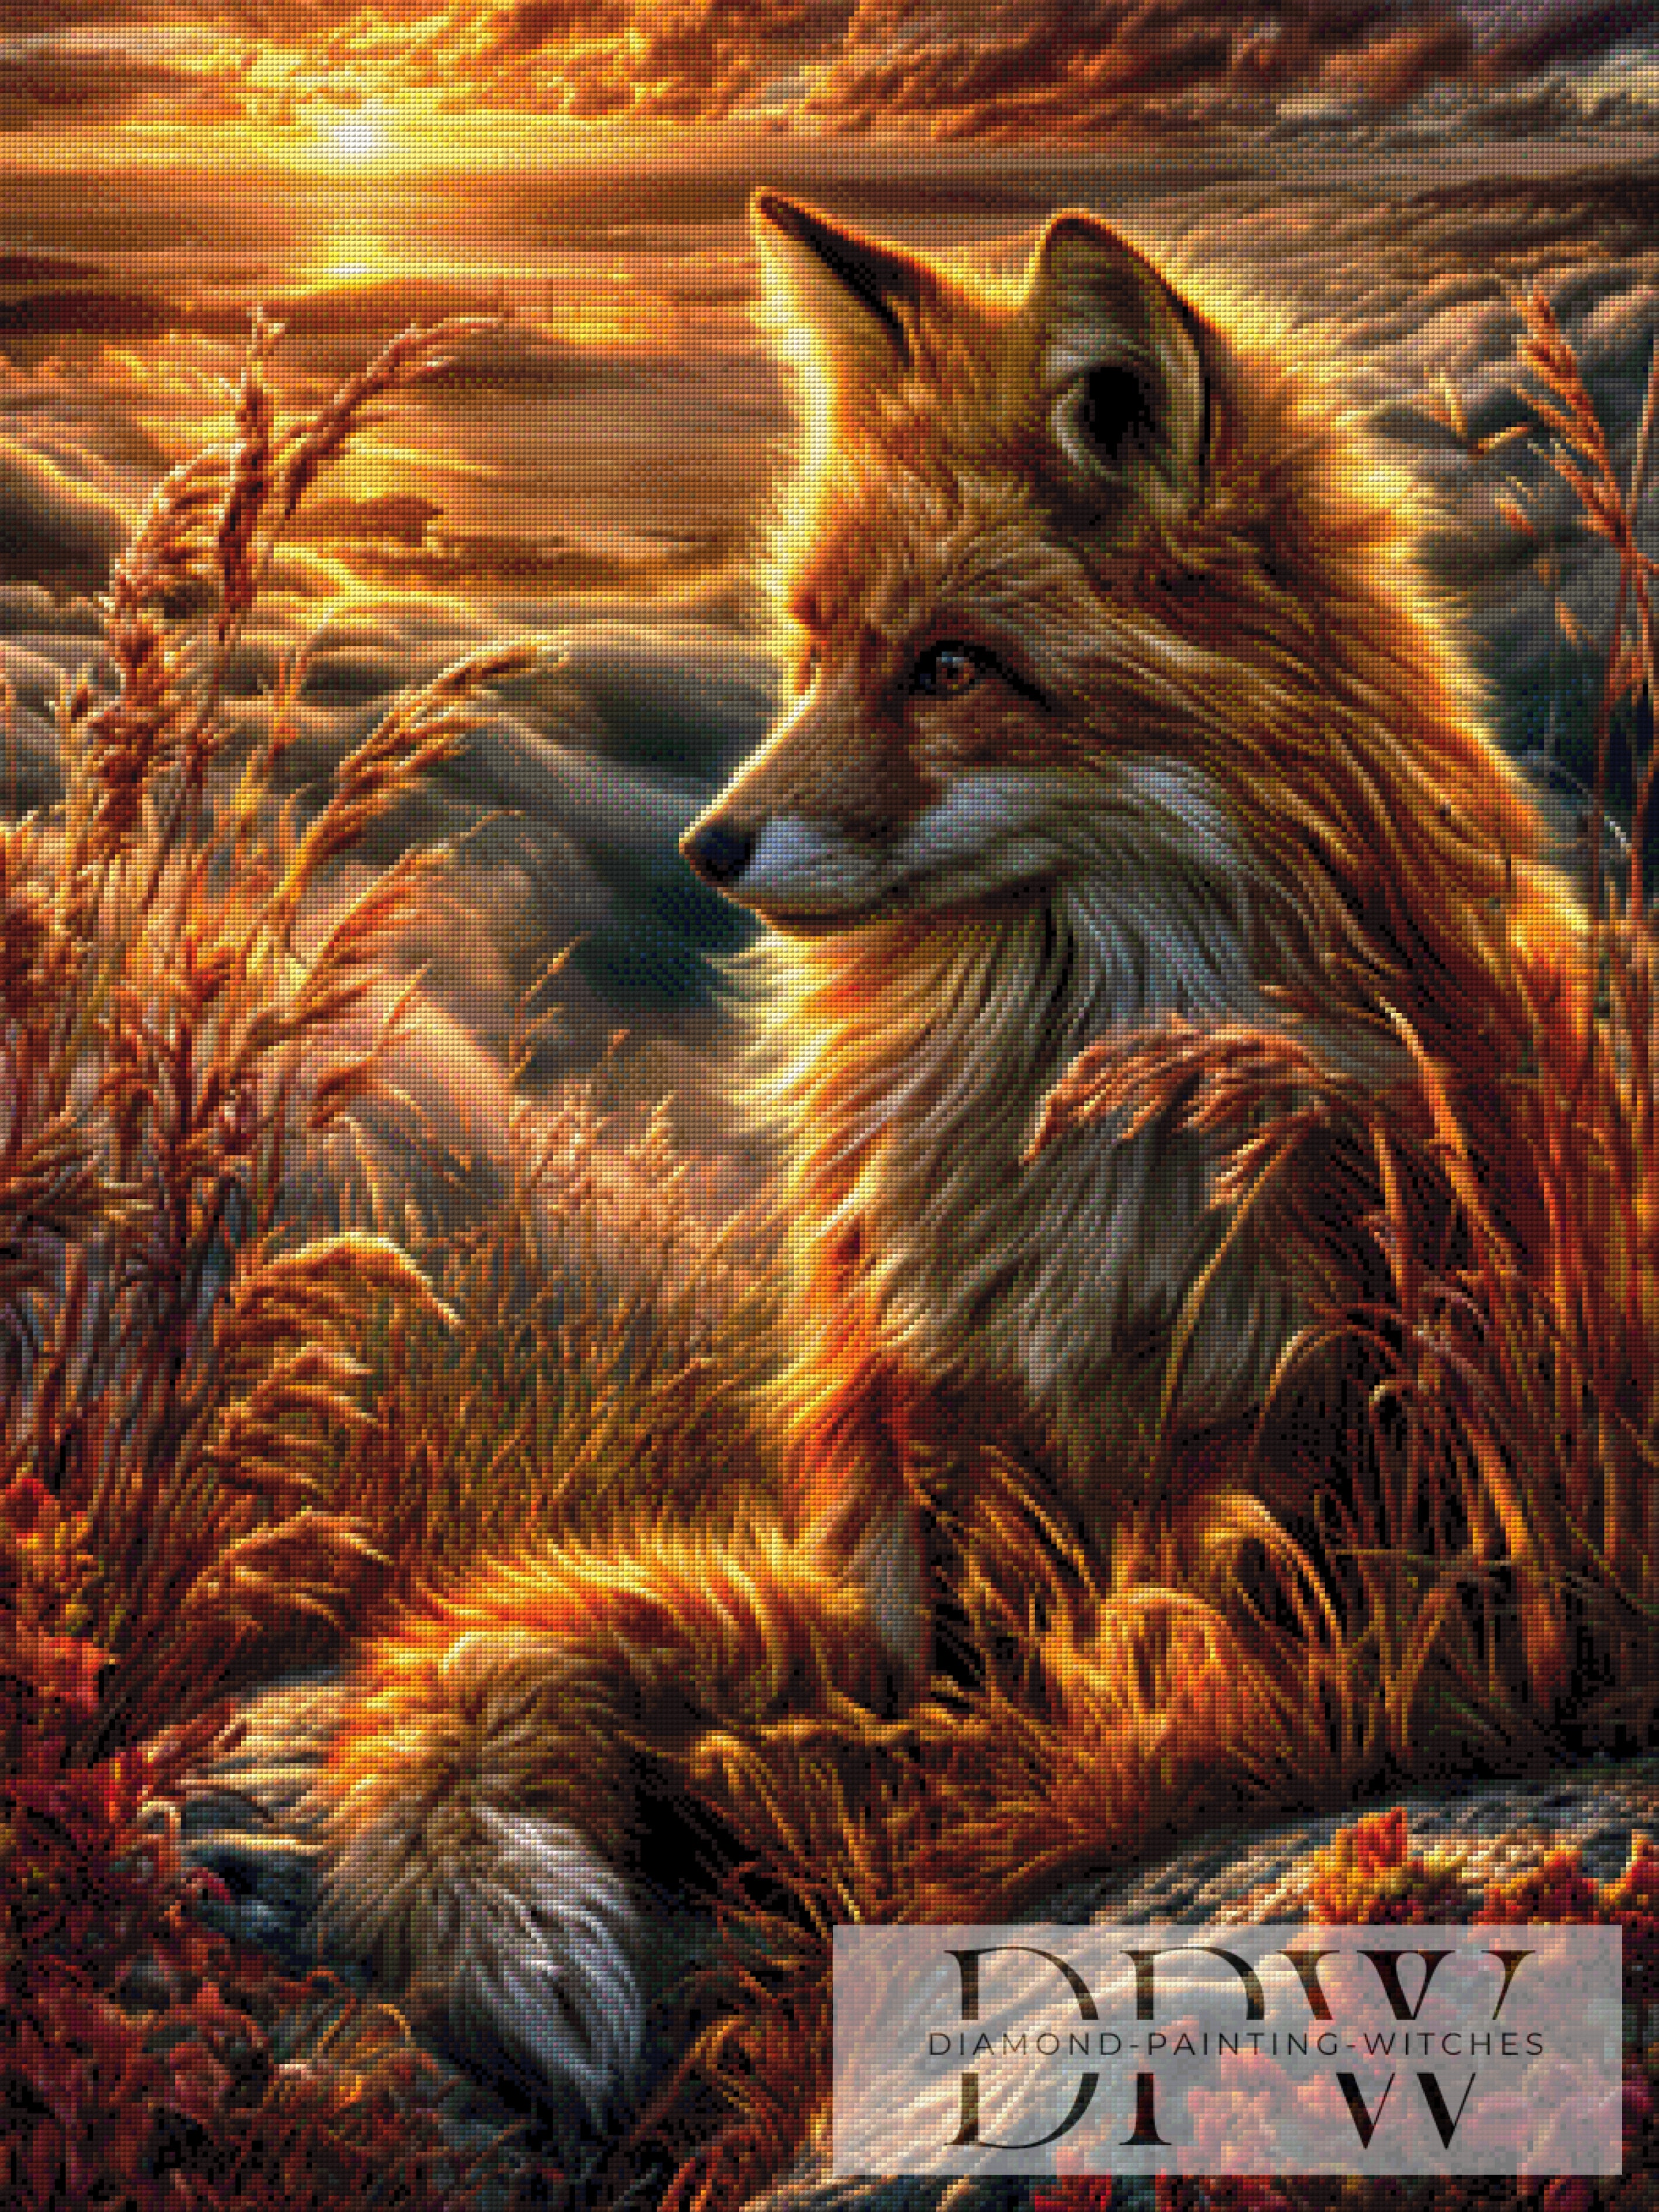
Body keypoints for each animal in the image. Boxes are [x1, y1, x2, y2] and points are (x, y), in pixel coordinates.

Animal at [290, 192, 1590, 2130]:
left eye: (953, 667)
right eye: (814, 645)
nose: (707, 845)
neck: (1082, 1085)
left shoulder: (1324, 1374)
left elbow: (1236, 1622)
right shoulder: (947, 1390)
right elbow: (995, 1681)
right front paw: (964, 1815)